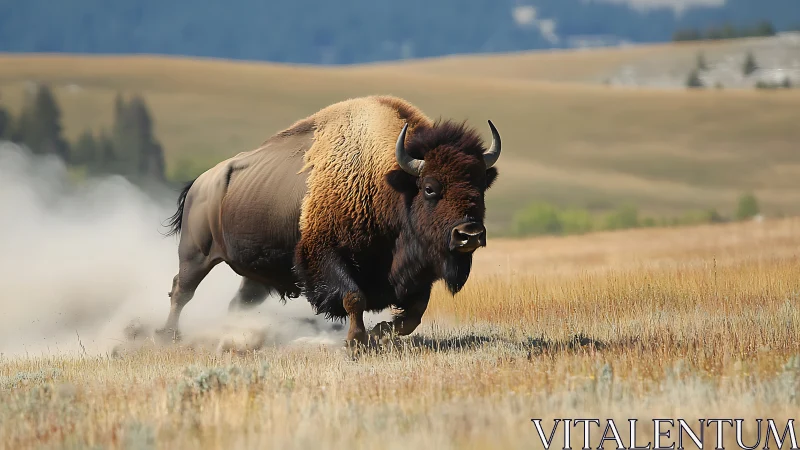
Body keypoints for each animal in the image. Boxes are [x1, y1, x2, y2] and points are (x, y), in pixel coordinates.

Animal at [157, 95, 501, 347]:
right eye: (430, 188)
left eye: (481, 185)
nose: (469, 234)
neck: (389, 182)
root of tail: (200, 183)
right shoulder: (326, 256)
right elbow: (353, 298)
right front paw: (356, 341)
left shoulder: (417, 273)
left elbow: (412, 314)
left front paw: (378, 333)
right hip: (195, 255)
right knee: (181, 290)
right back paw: (169, 336)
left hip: (256, 275)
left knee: (237, 302)